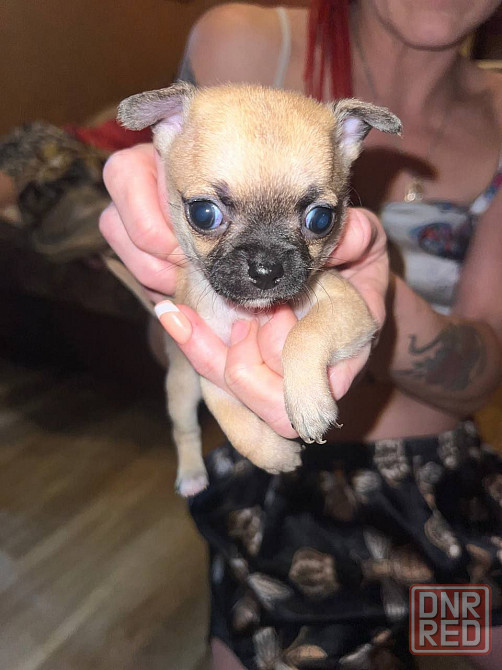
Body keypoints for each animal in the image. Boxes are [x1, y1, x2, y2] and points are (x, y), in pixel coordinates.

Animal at [118, 83, 401, 496]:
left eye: (321, 220)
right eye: (203, 214)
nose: (266, 269)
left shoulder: (348, 308)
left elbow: (303, 334)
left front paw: (308, 402)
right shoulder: (210, 372)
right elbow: (231, 420)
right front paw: (274, 454)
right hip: (181, 385)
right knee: (184, 428)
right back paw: (191, 473)